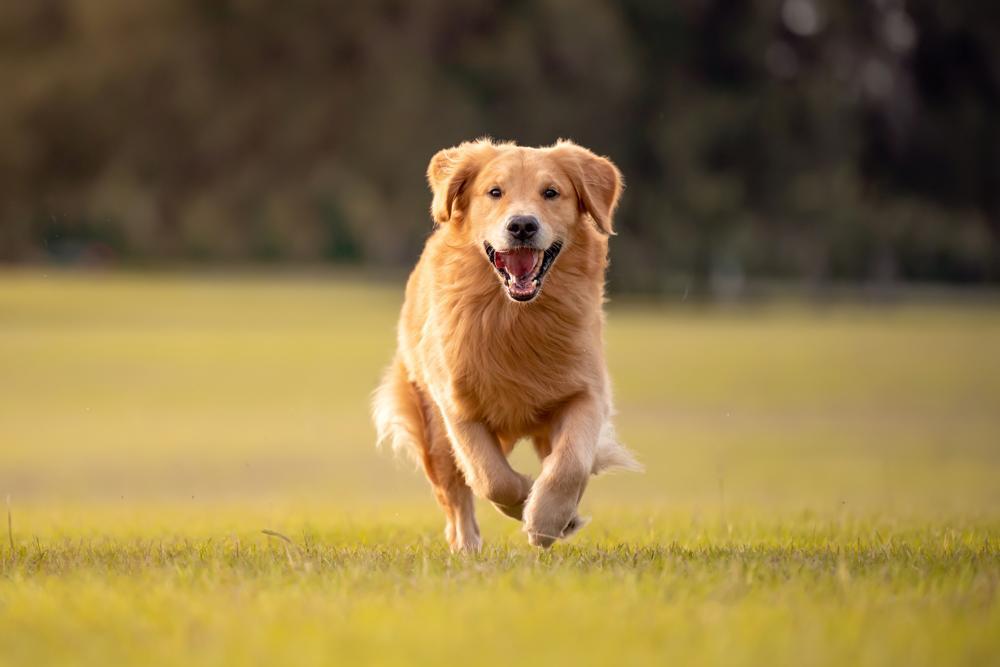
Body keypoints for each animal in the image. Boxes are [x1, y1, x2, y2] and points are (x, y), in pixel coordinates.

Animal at [374, 137, 640, 552]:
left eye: (551, 192)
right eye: (494, 192)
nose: (522, 225)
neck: (514, 316)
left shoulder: (586, 391)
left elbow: (571, 464)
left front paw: (547, 519)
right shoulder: (457, 405)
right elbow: (491, 478)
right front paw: (526, 499)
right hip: (431, 428)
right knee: (456, 496)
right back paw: (466, 547)